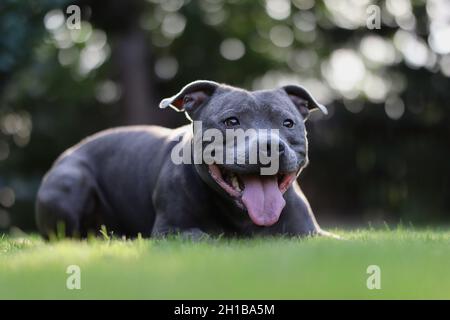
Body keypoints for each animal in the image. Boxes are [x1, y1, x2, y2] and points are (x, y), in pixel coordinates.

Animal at [35, 81, 332, 239]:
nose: (269, 146)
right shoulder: (171, 230)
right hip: (71, 179)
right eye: (231, 121)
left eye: (288, 123)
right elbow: (203, 235)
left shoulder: (312, 233)